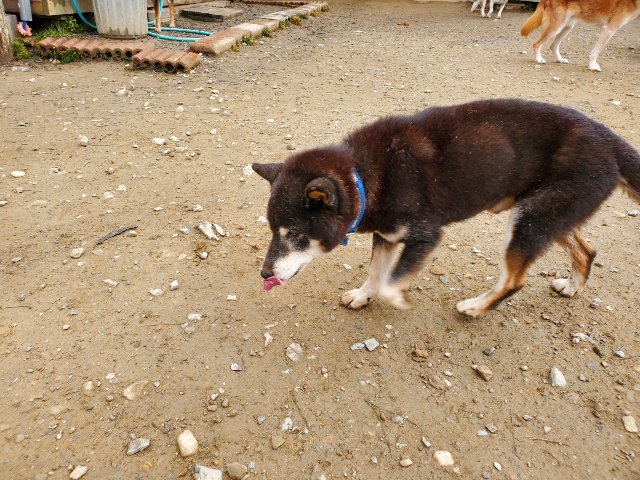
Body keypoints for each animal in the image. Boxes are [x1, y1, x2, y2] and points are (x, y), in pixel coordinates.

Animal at [252, 99, 640, 317]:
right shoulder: (386, 234)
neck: (362, 175)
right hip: (548, 214)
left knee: (514, 280)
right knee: (587, 250)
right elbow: (376, 273)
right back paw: (573, 287)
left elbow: (390, 283)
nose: (264, 273)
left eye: (295, 234)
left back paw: (476, 307)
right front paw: (363, 296)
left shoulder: (425, 236)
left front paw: (397, 300)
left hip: (530, 220)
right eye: (272, 231)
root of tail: (612, 142)